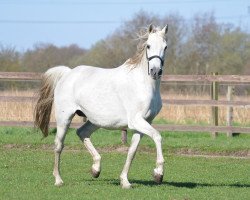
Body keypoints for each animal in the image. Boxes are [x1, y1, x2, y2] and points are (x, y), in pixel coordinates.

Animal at [34, 23, 168, 189]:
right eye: (148, 46)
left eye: (165, 47)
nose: (155, 71)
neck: (143, 84)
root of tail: (68, 73)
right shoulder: (136, 121)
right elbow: (157, 136)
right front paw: (158, 173)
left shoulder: (144, 123)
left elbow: (132, 151)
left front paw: (125, 181)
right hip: (64, 118)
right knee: (59, 145)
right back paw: (58, 180)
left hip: (95, 120)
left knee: (82, 133)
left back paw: (95, 169)